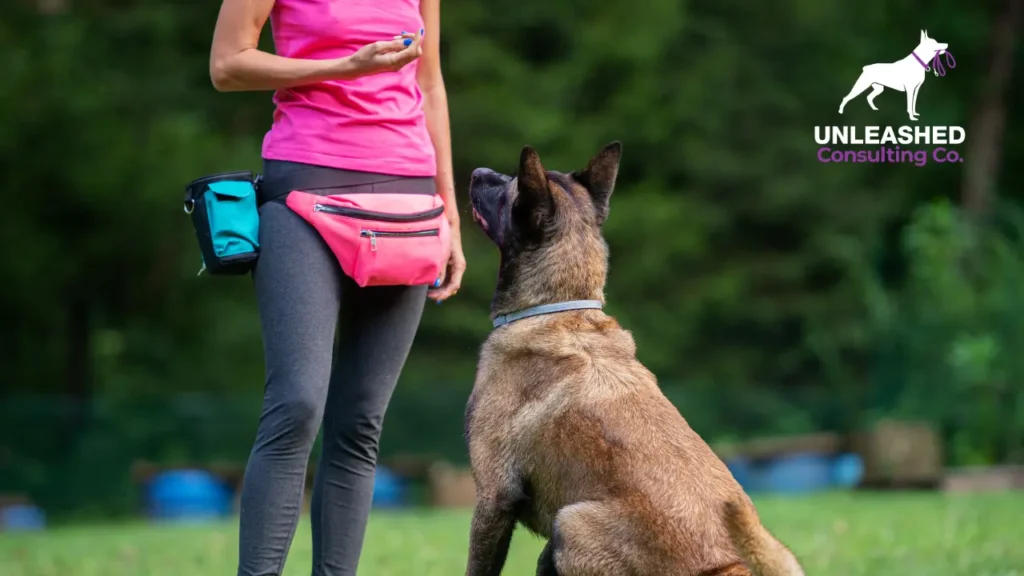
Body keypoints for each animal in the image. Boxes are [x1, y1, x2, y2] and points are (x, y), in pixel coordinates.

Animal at [460, 140, 802, 573]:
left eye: (509, 188)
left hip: (570, 522)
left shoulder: (494, 496)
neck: (558, 308)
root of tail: (728, 567)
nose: (476, 172)